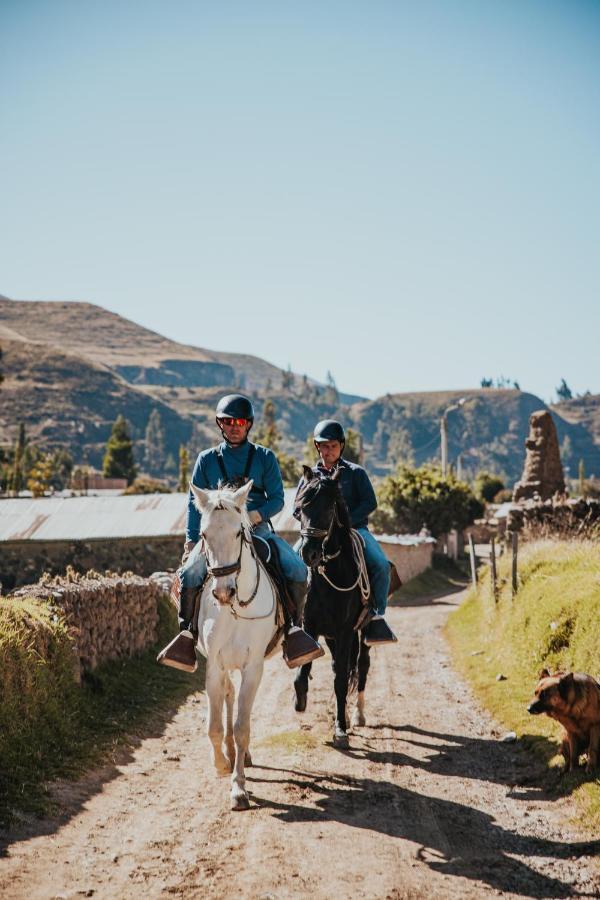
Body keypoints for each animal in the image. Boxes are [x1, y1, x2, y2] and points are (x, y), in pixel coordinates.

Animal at [191, 482, 280, 812]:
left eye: (239, 533)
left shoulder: (253, 667)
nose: (222, 592)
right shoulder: (214, 666)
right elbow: (214, 725)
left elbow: (243, 726)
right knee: (229, 694)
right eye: (204, 535)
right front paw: (221, 764)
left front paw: (239, 788)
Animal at [294, 464, 372, 744]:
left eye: (329, 509)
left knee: (360, 666)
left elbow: (340, 680)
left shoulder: (346, 630)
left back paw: (357, 715)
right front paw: (300, 700)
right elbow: (303, 670)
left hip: (363, 630)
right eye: (300, 509)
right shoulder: (311, 626)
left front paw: (340, 729)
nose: (309, 554)